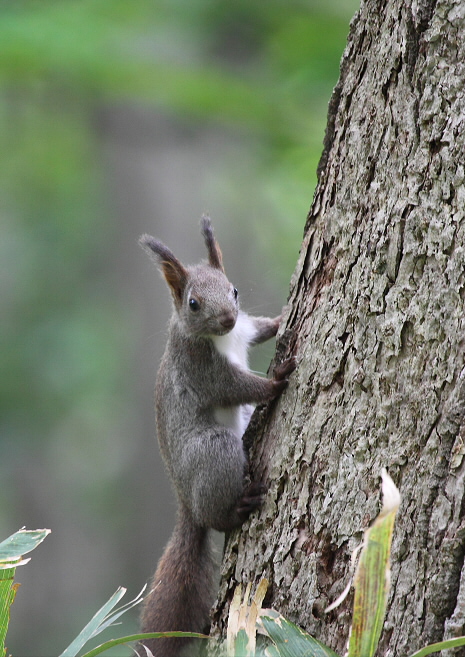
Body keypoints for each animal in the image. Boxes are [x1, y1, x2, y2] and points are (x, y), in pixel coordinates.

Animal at [137, 218, 294, 652]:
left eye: (234, 290)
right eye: (193, 303)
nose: (226, 317)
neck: (223, 338)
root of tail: (186, 502)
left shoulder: (244, 329)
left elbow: (259, 328)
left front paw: (281, 318)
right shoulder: (202, 368)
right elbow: (236, 386)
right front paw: (275, 380)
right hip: (214, 452)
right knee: (217, 518)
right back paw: (238, 508)